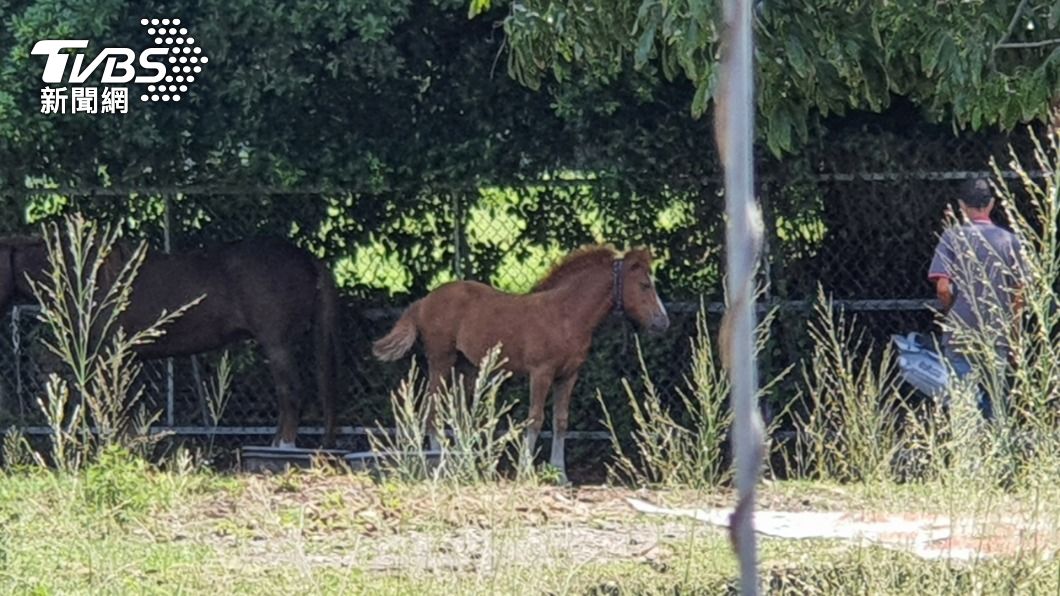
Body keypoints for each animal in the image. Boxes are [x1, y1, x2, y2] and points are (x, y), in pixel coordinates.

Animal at [0, 235, 340, 448]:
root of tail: (307, 258)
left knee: (290, 393)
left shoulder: (108, 356)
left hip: (277, 345)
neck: (85, 275)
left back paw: (283, 445)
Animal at [372, 245, 670, 480]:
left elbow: (561, 420)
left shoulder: (568, 375)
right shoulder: (541, 372)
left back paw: (463, 461)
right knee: (433, 409)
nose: (663, 322)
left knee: (456, 411)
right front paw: (526, 470)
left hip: (466, 366)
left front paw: (560, 474)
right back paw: (440, 462)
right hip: (441, 360)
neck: (565, 315)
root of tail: (423, 301)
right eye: (645, 285)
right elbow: (535, 418)